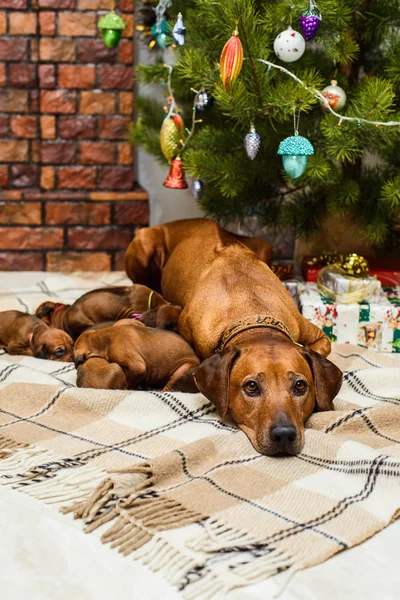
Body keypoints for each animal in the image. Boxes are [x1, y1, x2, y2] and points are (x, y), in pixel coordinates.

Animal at [124, 217, 340, 454]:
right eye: (251, 387)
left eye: (300, 386)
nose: (284, 434)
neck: (252, 309)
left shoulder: (311, 331)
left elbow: (324, 347)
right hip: (144, 244)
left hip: (266, 245)